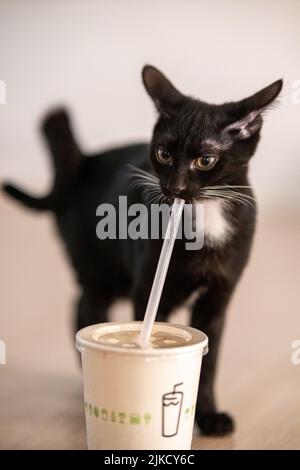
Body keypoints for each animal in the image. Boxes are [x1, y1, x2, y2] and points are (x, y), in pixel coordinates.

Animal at [2, 66, 282, 436]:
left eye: (205, 160)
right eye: (164, 154)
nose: (174, 187)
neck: (205, 215)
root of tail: (85, 163)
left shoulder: (218, 298)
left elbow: (209, 365)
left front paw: (209, 416)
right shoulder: (149, 288)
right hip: (99, 273)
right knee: (84, 309)